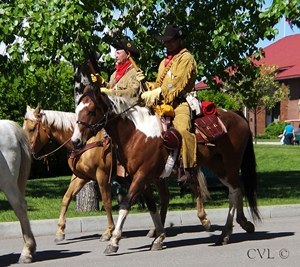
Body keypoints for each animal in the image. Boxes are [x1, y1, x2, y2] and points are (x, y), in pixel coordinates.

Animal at [22, 104, 115, 243]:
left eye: (32, 129)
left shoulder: (102, 175)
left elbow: (106, 201)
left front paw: (108, 231)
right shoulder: (80, 177)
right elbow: (66, 198)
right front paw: (60, 231)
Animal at [71, 87, 260, 254]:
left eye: (91, 111)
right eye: (77, 111)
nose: (75, 141)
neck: (136, 134)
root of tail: (236, 115)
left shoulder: (141, 176)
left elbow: (125, 205)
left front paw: (114, 241)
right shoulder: (143, 179)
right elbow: (152, 206)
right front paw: (159, 236)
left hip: (231, 163)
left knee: (233, 193)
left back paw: (225, 233)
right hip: (218, 166)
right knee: (237, 188)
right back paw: (243, 224)